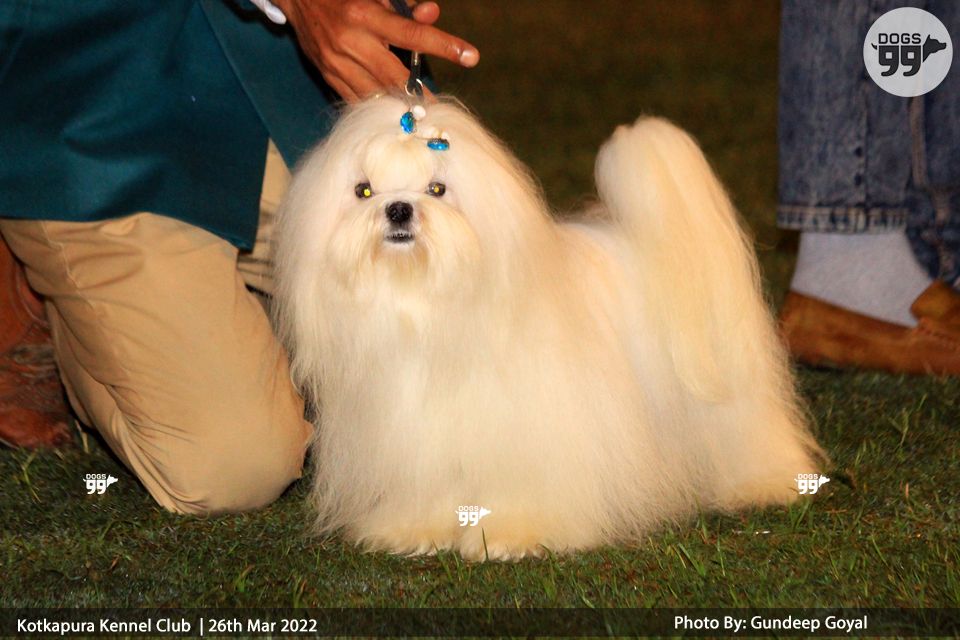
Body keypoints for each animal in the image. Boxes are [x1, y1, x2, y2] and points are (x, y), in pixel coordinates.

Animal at [274, 94, 823, 561]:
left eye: (438, 189)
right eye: (363, 190)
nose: (398, 209)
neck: (427, 314)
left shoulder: (531, 434)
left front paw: (512, 535)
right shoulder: (416, 436)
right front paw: (414, 529)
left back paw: (762, 483)